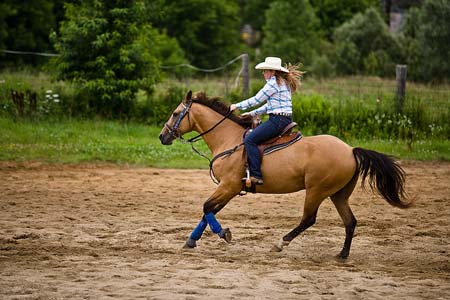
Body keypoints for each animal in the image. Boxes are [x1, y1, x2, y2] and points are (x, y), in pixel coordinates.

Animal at [158, 89, 412, 258]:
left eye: (175, 113)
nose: (162, 136)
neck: (229, 139)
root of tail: (350, 150)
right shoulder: (230, 189)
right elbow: (209, 210)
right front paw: (191, 241)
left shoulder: (229, 186)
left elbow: (206, 208)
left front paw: (224, 234)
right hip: (338, 194)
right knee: (350, 221)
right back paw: (342, 254)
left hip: (317, 190)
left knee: (309, 219)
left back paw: (280, 243)